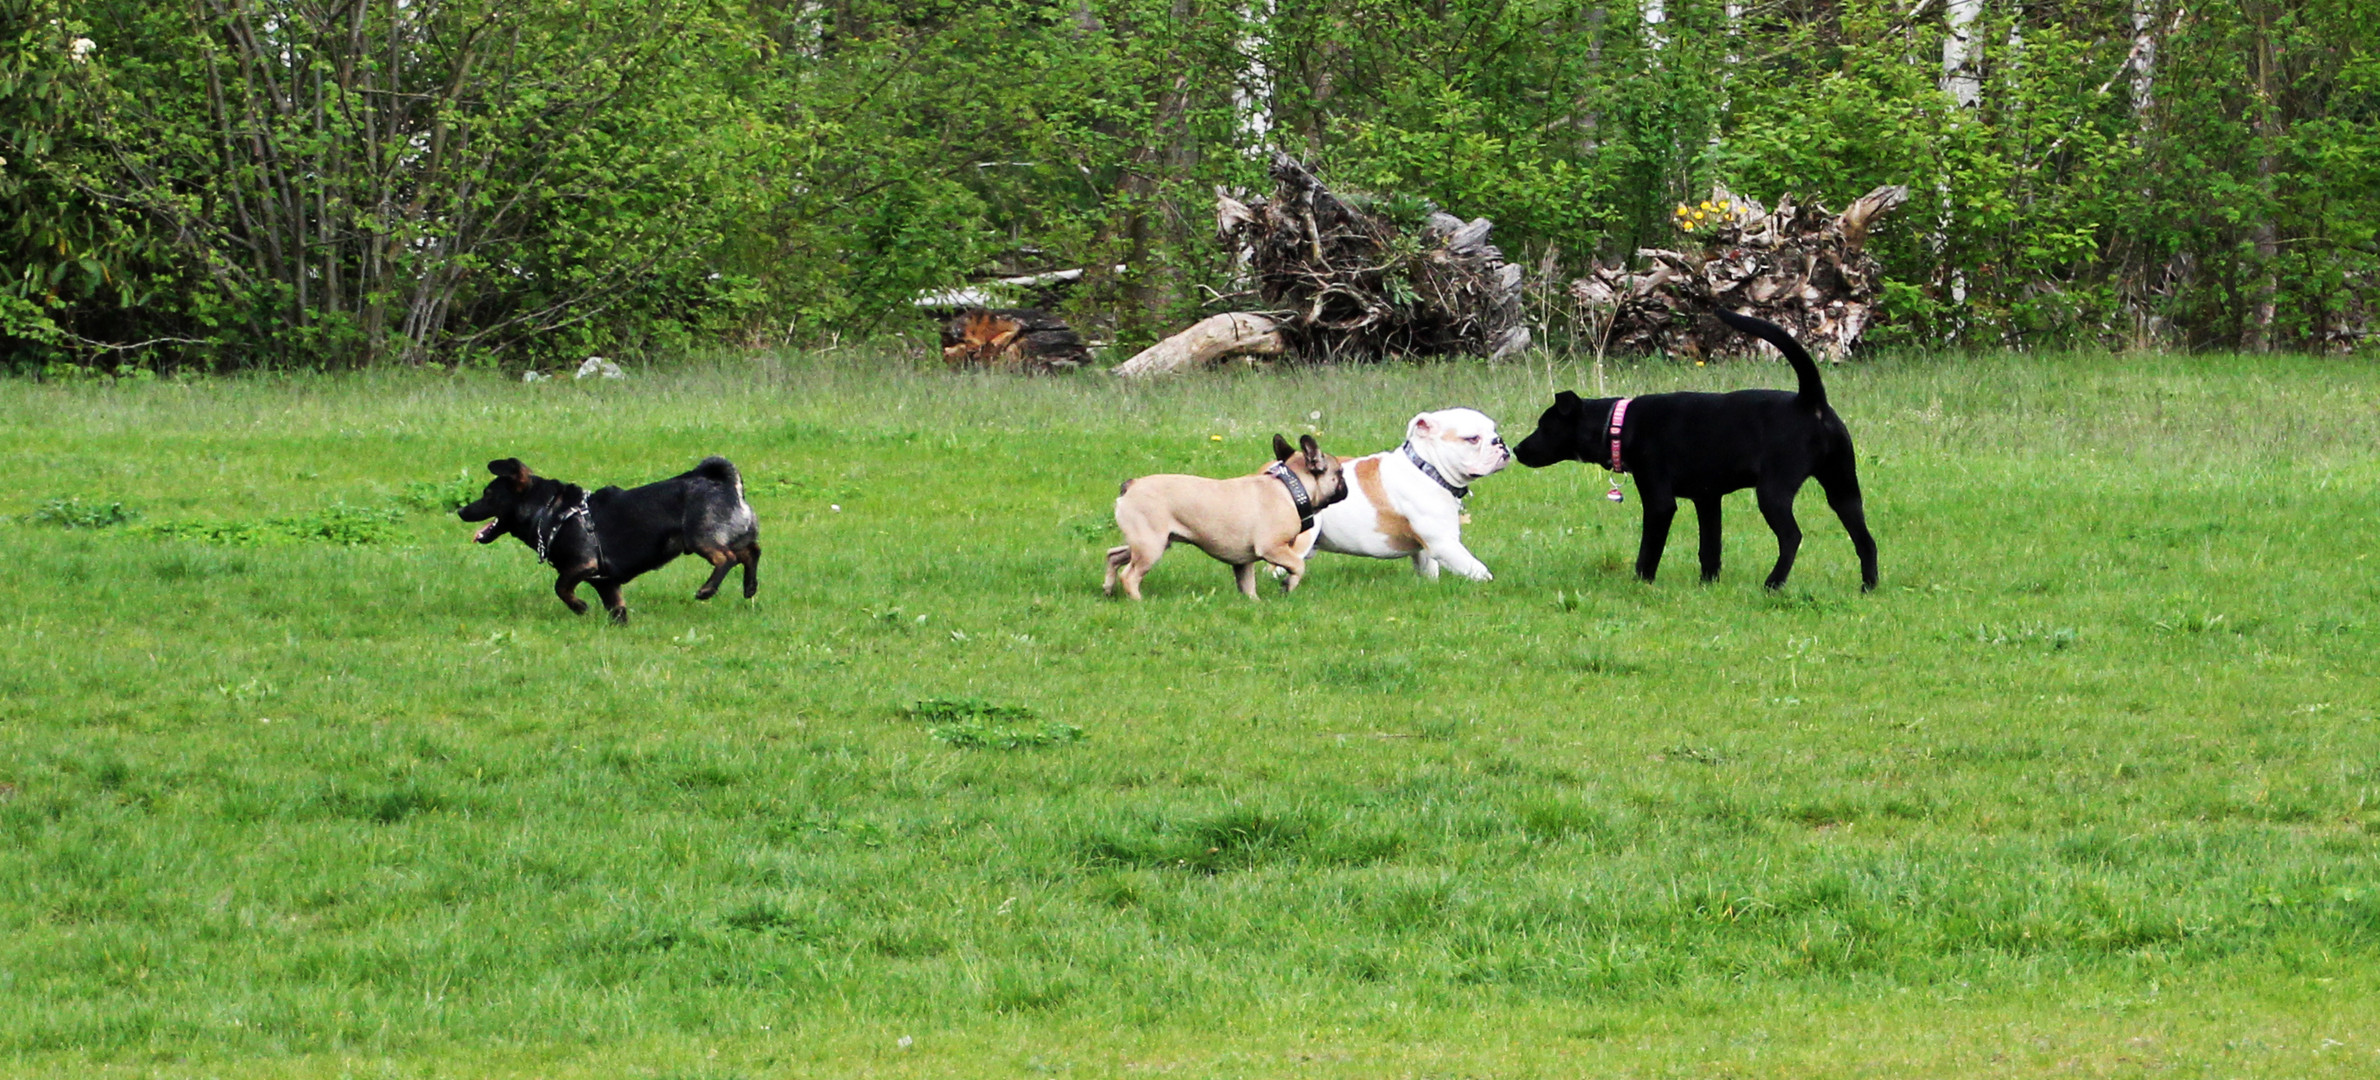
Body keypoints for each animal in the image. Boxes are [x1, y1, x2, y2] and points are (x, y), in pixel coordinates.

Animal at [456, 456, 761, 623]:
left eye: (488, 494)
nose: (461, 511)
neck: (549, 510)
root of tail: (725, 484)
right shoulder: (607, 583)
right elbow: (617, 610)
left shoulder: (581, 565)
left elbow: (560, 587)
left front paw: (579, 607)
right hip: (733, 534)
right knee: (752, 552)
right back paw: (749, 587)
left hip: (699, 537)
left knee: (727, 558)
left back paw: (708, 589)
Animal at [1523, 306, 1875, 594]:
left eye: (1544, 426)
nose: (1517, 448)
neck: (1619, 424)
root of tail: (1809, 401)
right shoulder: (1707, 500)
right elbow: (1710, 548)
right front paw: (1707, 585)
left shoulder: (1659, 502)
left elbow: (1648, 551)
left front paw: (1641, 583)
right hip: (1843, 489)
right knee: (1866, 540)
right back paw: (1868, 587)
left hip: (1774, 491)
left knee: (1792, 537)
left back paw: (1773, 584)